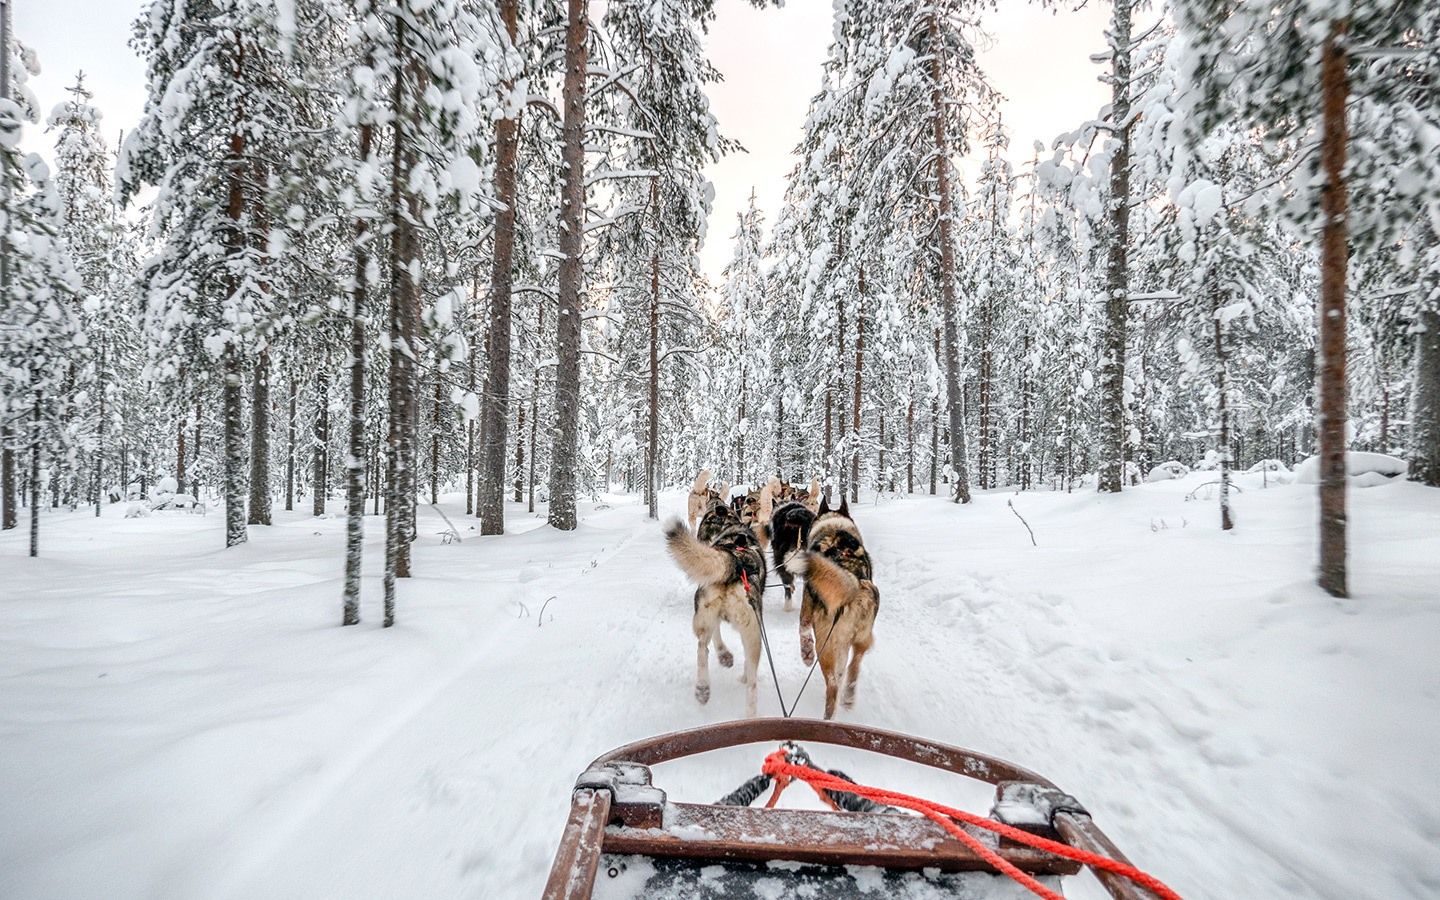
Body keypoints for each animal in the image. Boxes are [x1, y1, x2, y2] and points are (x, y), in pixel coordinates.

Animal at [665, 512, 771, 717]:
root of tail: (736, 560)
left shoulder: (711, 617)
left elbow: (716, 636)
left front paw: (724, 655)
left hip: (703, 615)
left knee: (701, 647)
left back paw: (703, 688)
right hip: (754, 633)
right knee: (752, 681)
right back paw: (750, 712)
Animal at [789, 495, 875, 720]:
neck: (834, 527)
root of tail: (854, 581)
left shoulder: (807, 610)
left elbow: (802, 629)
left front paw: (806, 654)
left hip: (825, 645)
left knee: (833, 684)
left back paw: (829, 716)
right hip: (860, 638)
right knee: (853, 665)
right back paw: (849, 697)